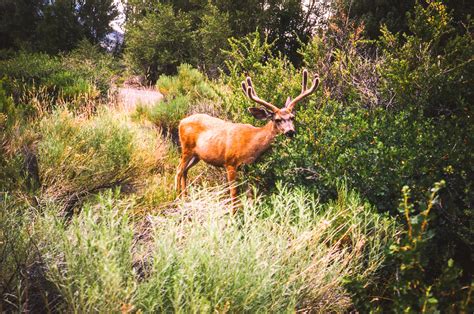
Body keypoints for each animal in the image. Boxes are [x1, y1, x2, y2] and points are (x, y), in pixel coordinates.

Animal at [174, 69, 318, 211]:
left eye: (292, 117)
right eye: (277, 119)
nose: (290, 132)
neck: (252, 144)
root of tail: (181, 121)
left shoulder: (248, 167)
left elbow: (249, 196)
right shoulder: (230, 163)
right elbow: (234, 195)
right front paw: (233, 215)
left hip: (197, 155)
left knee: (185, 171)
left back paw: (185, 199)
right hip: (186, 148)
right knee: (179, 170)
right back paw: (178, 200)